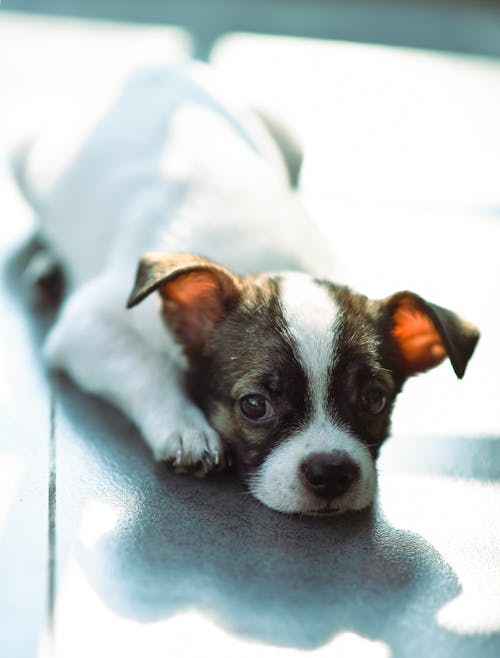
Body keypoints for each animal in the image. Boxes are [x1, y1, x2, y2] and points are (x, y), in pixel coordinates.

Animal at [13, 64, 478, 516]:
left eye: (375, 400)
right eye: (254, 406)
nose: (331, 471)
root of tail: (151, 66)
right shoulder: (88, 326)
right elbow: (148, 367)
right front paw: (186, 427)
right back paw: (47, 260)